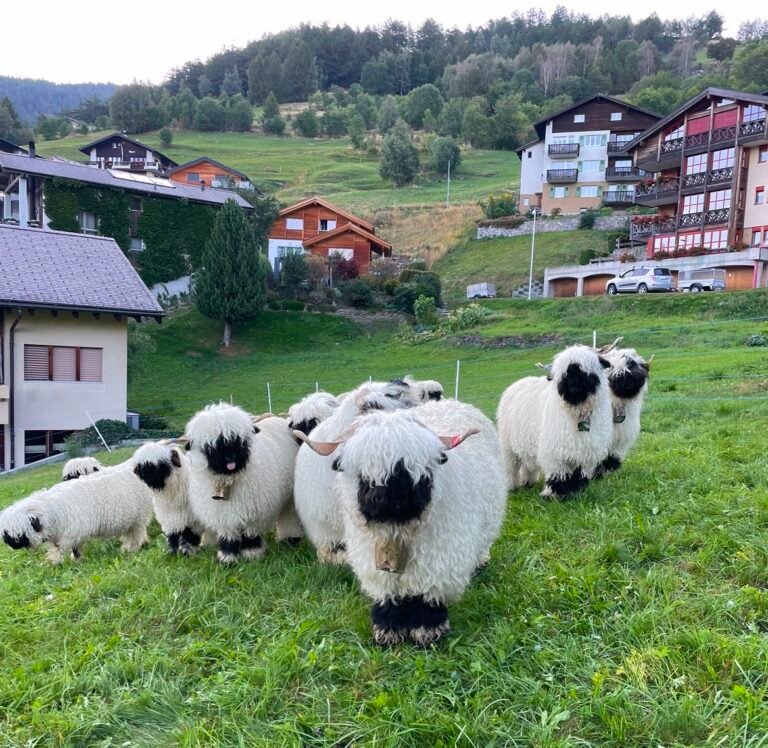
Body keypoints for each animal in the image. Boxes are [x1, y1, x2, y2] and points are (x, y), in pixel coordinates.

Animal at [0, 466, 153, 564]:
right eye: (6, 535)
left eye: (18, 535)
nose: (13, 547)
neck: (53, 511)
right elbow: (58, 549)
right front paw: (55, 561)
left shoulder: (73, 533)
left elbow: (71, 549)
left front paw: (72, 561)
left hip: (138, 517)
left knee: (136, 534)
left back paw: (131, 549)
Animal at [184, 403, 299, 564]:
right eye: (210, 446)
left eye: (239, 440)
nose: (230, 458)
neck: (228, 480)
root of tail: (277, 419)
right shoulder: (222, 513)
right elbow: (228, 536)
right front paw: (227, 558)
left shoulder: (253, 512)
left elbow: (250, 534)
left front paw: (252, 554)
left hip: (289, 496)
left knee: (288, 515)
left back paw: (290, 539)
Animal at [298, 399, 506, 646]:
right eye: (364, 472)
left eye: (413, 468)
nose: (393, 497)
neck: (397, 530)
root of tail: (455, 402)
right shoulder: (375, 566)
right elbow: (388, 598)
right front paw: (388, 632)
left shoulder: (439, 561)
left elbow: (428, 598)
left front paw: (427, 632)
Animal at [497, 344, 613, 499]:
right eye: (564, 374)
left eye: (583, 371)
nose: (572, 386)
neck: (577, 413)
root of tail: (519, 382)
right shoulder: (555, 451)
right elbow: (558, 475)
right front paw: (553, 495)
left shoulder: (586, 454)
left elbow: (579, 476)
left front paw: (575, 493)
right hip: (507, 445)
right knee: (510, 466)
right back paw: (510, 487)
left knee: (527, 465)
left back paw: (527, 482)